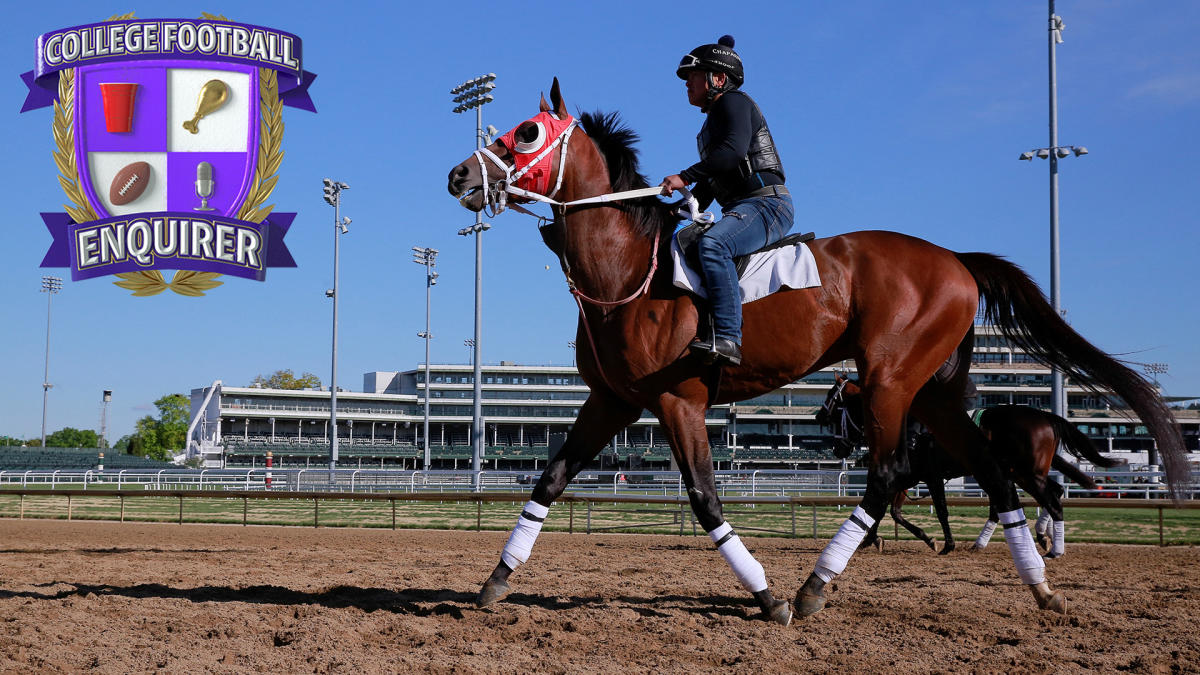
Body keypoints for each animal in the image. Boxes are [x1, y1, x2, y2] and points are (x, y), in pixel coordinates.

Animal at [816, 374, 1123, 554]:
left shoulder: (930, 475)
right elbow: (890, 512)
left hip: (1025, 473)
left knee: (1051, 500)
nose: (819, 416)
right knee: (1049, 495)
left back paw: (1053, 547)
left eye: (832, 396)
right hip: (1023, 472)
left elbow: (939, 509)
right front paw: (872, 539)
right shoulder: (908, 478)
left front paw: (945, 544)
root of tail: (1045, 417)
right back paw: (1035, 538)